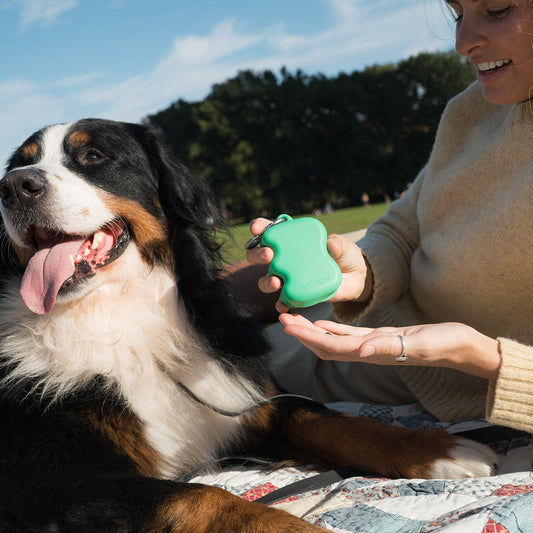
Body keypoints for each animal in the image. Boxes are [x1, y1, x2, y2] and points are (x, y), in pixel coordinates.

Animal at [0, 118, 494, 528]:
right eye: (20, 164)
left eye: (94, 156)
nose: (14, 186)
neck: (124, 323)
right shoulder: (45, 481)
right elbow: (203, 497)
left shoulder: (243, 400)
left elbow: (331, 421)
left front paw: (440, 448)